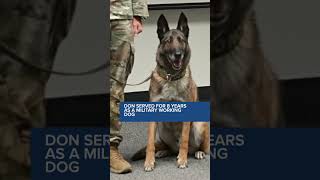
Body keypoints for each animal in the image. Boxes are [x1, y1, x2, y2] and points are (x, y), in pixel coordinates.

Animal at [131, 13, 210, 172]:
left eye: (181, 40)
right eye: (168, 41)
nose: (177, 54)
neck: (171, 77)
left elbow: (184, 140)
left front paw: (183, 160)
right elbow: (150, 143)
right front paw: (149, 162)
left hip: (199, 125)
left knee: (199, 147)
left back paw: (198, 152)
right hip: (162, 129)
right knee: (171, 148)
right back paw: (163, 151)